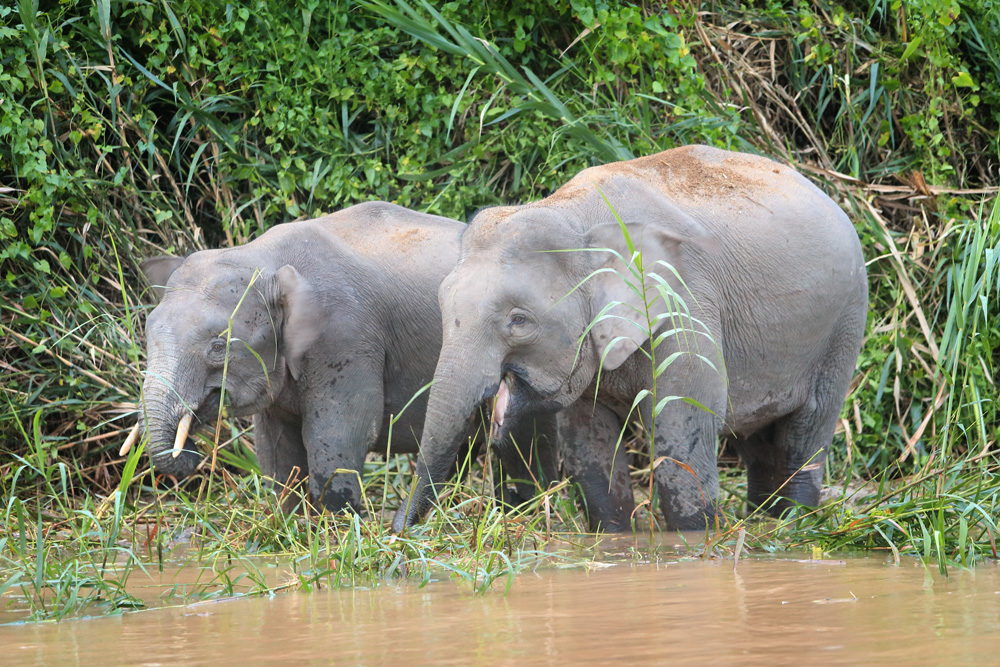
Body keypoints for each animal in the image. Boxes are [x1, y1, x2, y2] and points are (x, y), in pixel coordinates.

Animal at [128, 201, 556, 513]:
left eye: (218, 347)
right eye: (147, 335)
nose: (193, 456)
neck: (263, 258)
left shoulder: (345, 334)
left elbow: (339, 432)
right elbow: (276, 448)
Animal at [391, 145, 868, 533]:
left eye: (519, 321)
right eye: (442, 304)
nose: (397, 531)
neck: (574, 215)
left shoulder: (684, 301)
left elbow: (681, 425)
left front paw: (697, 541)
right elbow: (589, 442)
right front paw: (615, 539)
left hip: (844, 325)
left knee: (805, 433)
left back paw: (791, 524)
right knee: (760, 443)